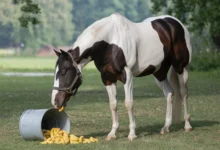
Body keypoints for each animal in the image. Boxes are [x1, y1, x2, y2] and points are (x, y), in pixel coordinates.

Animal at [50, 12, 192, 141]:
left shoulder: (126, 76)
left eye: (63, 71)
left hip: (181, 68)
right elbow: (113, 104)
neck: (110, 43)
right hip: (159, 72)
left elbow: (129, 104)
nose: (55, 101)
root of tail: (174, 23)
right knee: (169, 93)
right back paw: (165, 127)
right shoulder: (107, 78)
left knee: (184, 93)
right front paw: (112, 133)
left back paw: (187, 125)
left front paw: (132, 134)